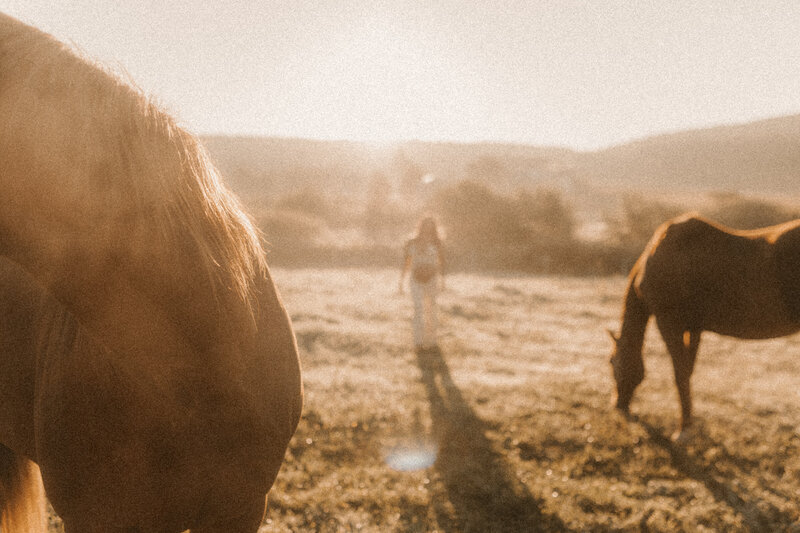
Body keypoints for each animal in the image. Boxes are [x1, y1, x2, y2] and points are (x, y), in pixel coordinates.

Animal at [608, 212, 800, 440]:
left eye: (611, 361)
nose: (617, 405)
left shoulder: (669, 323)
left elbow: (680, 374)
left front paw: (682, 431)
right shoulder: (694, 328)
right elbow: (688, 372)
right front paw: (689, 424)